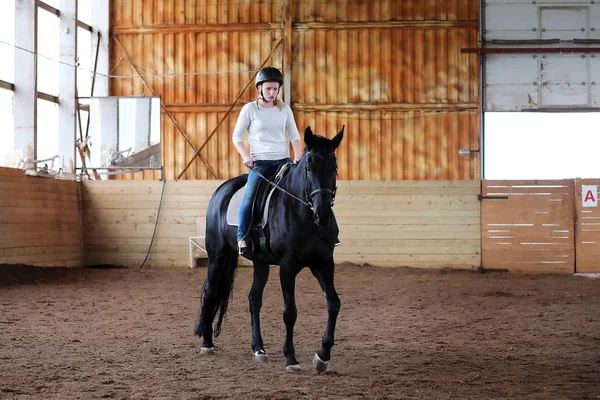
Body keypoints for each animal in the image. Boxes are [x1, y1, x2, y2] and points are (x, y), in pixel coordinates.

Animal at [192, 126, 342, 374]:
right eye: (309, 167)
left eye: (335, 167)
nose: (322, 214)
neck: (303, 213)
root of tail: (221, 190)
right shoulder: (287, 266)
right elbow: (290, 312)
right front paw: (290, 358)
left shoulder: (324, 263)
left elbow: (334, 304)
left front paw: (322, 356)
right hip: (217, 256)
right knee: (210, 292)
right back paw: (206, 343)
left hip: (260, 262)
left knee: (254, 300)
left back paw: (259, 349)